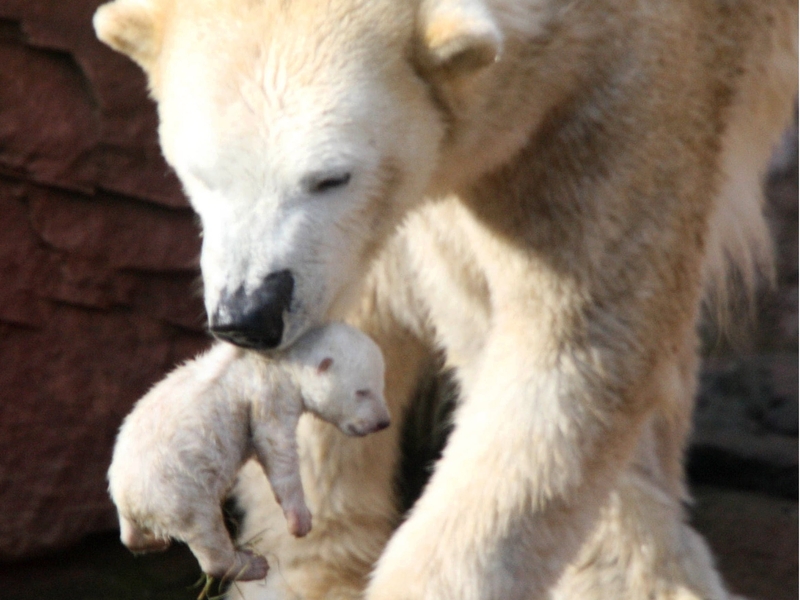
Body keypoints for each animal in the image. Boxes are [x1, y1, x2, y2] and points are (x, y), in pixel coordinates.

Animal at [108, 323, 389, 582]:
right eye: (362, 391)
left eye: (381, 384)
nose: (383, 422)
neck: (280, 359)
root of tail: (128, 497)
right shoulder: (267, 393)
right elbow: (276, 446)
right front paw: (300, 521)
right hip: (177, 492)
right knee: (206, 530)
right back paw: (251, 565)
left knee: (131, 531)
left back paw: (149, 541)